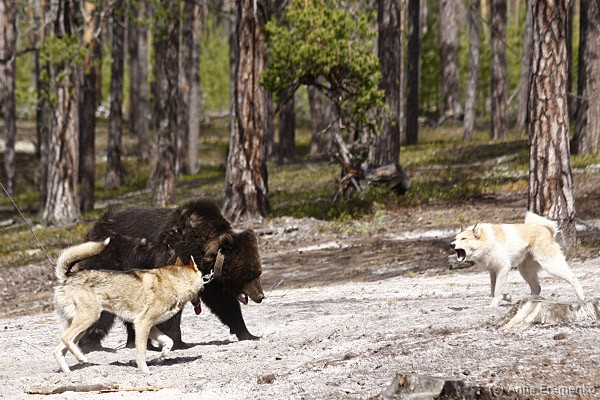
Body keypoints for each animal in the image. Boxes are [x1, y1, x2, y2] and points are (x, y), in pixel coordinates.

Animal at [53, 238, 204, 373]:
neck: (175, 283)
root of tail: (68, 277)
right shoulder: (142, 324)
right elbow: (141, 352)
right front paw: (145, 370)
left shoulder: (149, 326)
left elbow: (169, 342)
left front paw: (161, 357)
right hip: (89, 319)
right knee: (65, 338)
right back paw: (81, 358)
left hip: (83, 327)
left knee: (58, 350)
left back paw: (68, 373)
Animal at [76, 198, 264, 349]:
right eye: (248, 275)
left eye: (258, 272)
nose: (260, 296)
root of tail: (94, 227)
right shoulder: (173, 256)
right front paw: (178, 342)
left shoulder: (210, 280)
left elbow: (225, 304)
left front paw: (248, 334)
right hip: (109, 259)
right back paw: (91, 344)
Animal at [450, 212, 585, 306]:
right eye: (456, 238)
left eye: (463, 239)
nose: (451, 244)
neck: (487, 241)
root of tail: (546, 229)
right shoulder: (493, 272)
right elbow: (493, 291)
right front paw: (507, 297)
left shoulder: (503, 269)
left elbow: (497, 291)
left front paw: (494, 304)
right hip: (525, 271)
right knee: (537, 288)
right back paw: (529, 301)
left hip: (550, 265)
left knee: (572, 277)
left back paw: (581, 297)